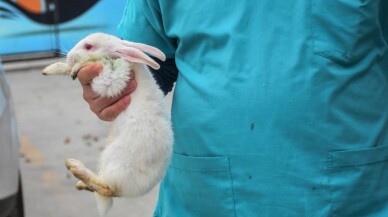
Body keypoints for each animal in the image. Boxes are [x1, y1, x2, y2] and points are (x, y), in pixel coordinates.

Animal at [42, 32, 173, 217]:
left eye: (88, 46)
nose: (69, 56)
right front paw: (53, 68)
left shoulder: (114, 78)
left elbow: (98, 67)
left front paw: (76, 68)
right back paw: (81, 183)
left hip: (116, 158)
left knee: (107, 189)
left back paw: (75, 167)